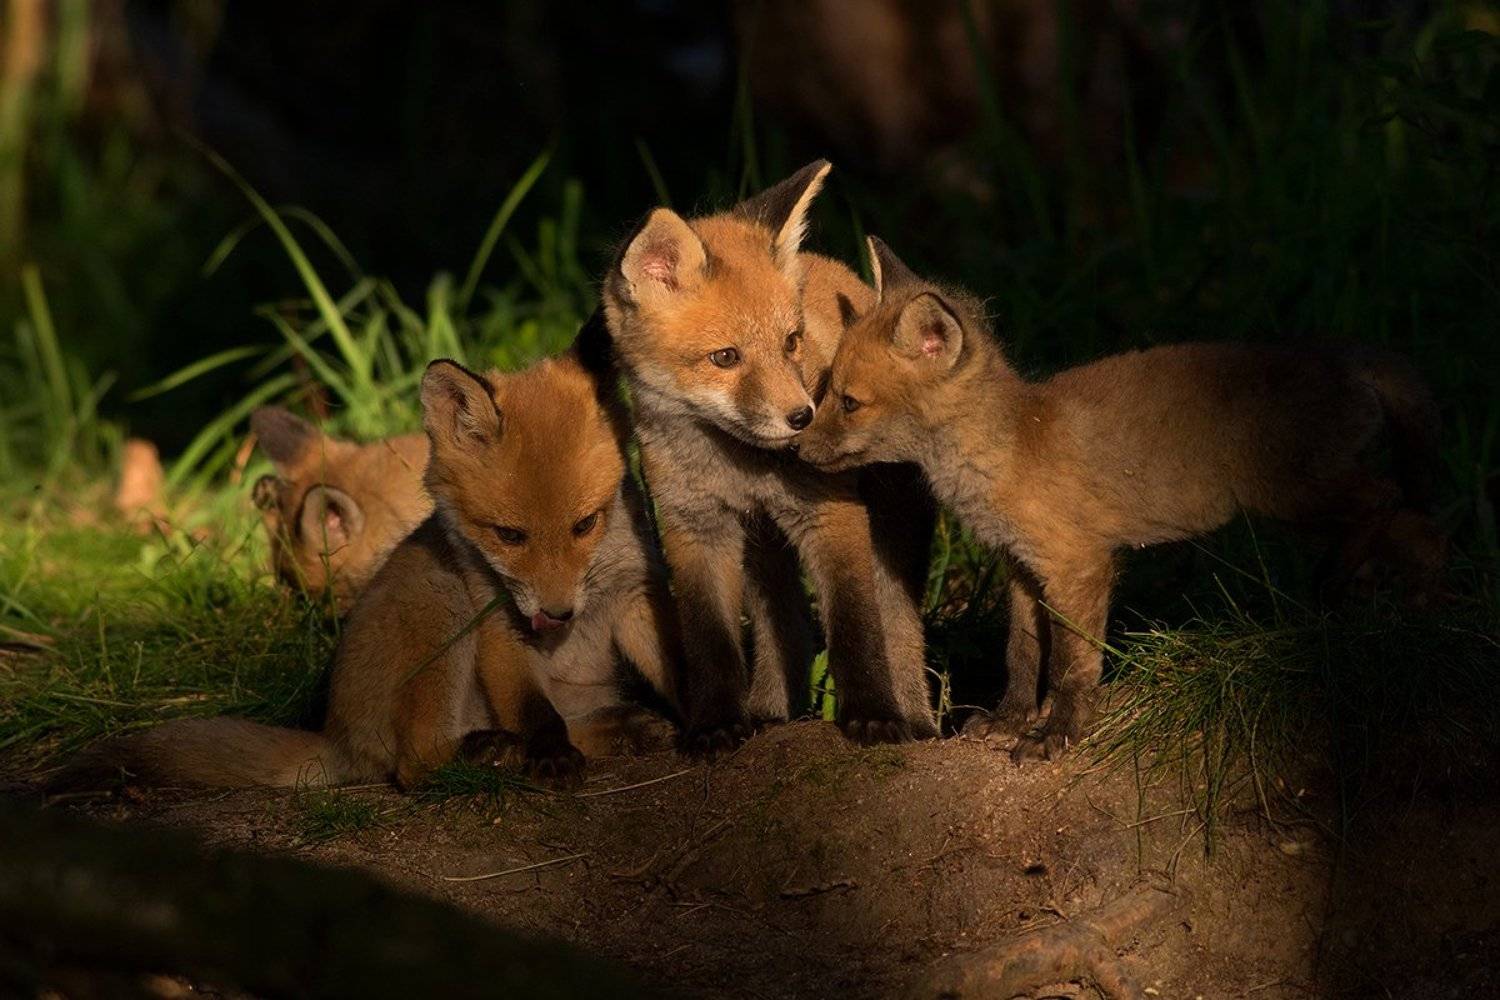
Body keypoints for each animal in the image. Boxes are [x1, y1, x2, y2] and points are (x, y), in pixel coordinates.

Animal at [600, 160, 938, 753]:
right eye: (725, 357)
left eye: (792, 342)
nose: (803, 417)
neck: (736, 467)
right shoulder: (694, 525)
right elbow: (708, 637)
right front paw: (715, 724)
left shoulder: (831, 514)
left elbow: (855, 628)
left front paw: (873, 716)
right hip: (761, 548)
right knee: (783, 623)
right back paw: (772, 711)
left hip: (895, 522)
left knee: (897, 623)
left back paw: (915, 717)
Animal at [796, 236, 1447, 762]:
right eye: (825, 390)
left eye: (849, 402)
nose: (797, 448)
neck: (1007, 449)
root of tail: (1341, 353)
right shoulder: (1023, 569)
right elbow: (1021, 654)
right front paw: (1010, 720)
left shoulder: (1079, 565)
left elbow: (1071, 666)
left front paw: (1055, 732)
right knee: (1422, 525)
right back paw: (1421, 607)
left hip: (1295, 497)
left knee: (1386, 499)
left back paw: (1335, 587)